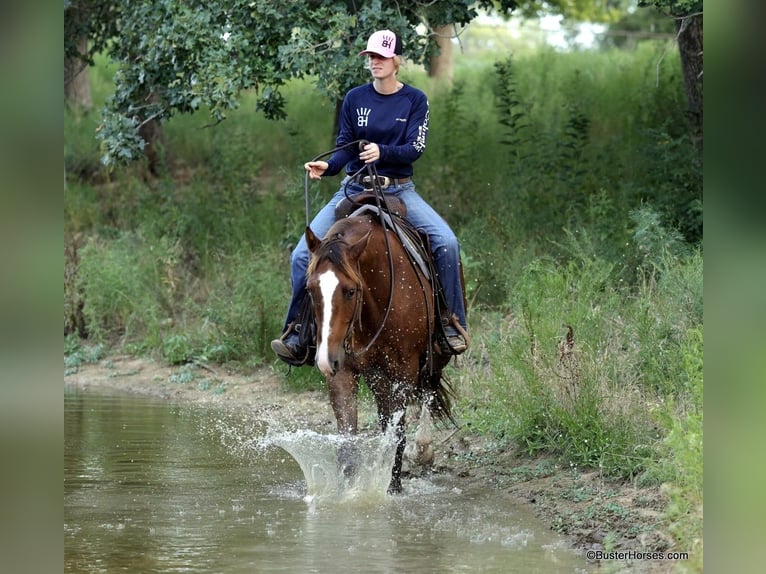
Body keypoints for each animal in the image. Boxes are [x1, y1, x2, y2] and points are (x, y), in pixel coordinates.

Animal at [306, 214, 456, 492]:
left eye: (350, 291)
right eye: (310, 290)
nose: (324, 360)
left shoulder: (404, 371)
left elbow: (398, 432)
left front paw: (393, 487)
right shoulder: (343, 370)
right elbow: (348, 434)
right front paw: (350, 490)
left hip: (434, 355)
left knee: (428, 389)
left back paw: (423, 449)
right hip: (376, 375)